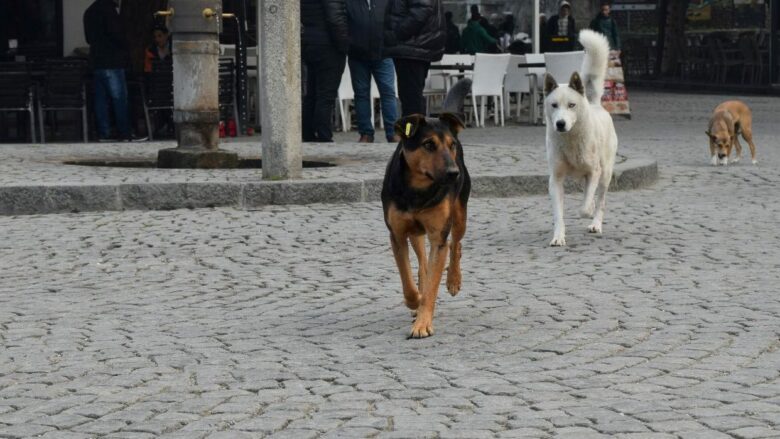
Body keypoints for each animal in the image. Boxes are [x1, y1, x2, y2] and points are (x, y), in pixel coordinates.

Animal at [380, 114, 470, 340]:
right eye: (428, 144)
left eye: (452, 145)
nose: (453, 173)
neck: (418, 189)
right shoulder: (397, 235)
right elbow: (407, 279)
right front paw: (415, 301)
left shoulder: (438, 237)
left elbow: (432, 286)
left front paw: (422, 324)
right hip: (415, 233)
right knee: (422, 264)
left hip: (460, 213)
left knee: (455, 244)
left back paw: (453, 280)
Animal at [544, 28, 620, 246]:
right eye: (554, 105)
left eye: (571, 105)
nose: (560, 124)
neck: (570, 140)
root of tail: (594, 104)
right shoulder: (556, 179)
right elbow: (558, 214)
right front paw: (558, 237)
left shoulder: (594, 172)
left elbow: (585, 207)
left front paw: (587, 210)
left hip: (605, 174)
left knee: (600, 200)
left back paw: (596, 224)